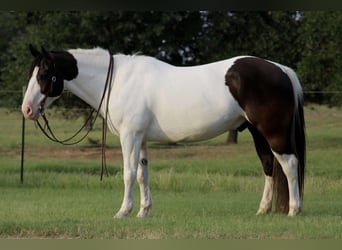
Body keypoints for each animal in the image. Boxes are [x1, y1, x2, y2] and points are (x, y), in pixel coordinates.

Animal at [22, 45, 304, 217]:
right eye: (31, 72)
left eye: (44, 73)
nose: (27, 109)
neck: (118, 81)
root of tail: (280, 69)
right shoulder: (141, 138)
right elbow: (142, 174)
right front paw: (143, 211)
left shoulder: (130, 136)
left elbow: (128, 174)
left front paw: (123, 211)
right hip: (257, 133)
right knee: (269, 166)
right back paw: (263, 210)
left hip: (273, 133)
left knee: (289, 165)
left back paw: (294, 209)